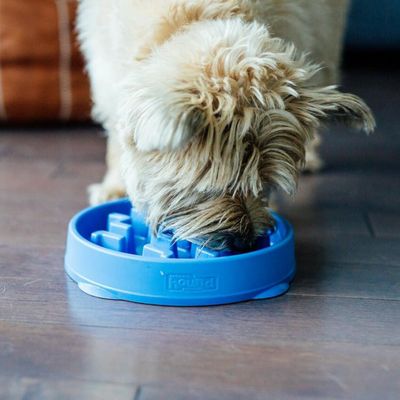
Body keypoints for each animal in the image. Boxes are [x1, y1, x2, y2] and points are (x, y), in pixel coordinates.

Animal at [77, 0, 376, 250]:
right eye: (208, 188)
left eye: (265, 184)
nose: (246, 241)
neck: (197, 14)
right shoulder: (107, 69)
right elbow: (117, 138)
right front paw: (115, 185)